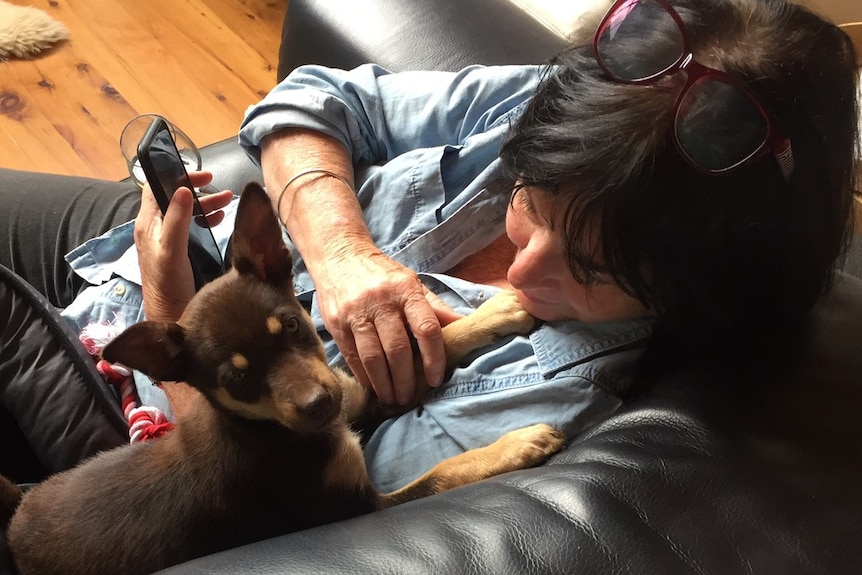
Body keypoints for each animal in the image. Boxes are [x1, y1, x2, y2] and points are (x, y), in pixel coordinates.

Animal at [5, 183, 568, 575]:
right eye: (236, 380)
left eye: (292, 327)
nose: (318, 405)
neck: (270, 430)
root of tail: (14, 518)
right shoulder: (361, 507)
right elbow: (444, 472)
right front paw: (517, 444)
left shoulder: (354, 395)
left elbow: (432, 346)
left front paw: (500, 311)